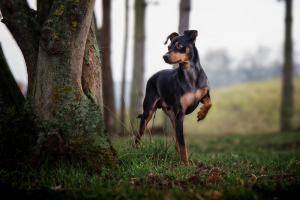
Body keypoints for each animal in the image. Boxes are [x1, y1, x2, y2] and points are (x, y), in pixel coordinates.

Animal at [135, 29, 212, 164]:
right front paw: (186, 164)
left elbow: (209, 103)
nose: (165, 56)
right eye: (168, 47)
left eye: (179, 46)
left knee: (176, 141)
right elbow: (182, 143)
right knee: (138, 136)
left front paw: (202, 114)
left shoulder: (204, 95)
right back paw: (136, 151)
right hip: (149, 112)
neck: (190, 75)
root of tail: (152, 76)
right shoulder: (180, 115)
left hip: (172, 117)